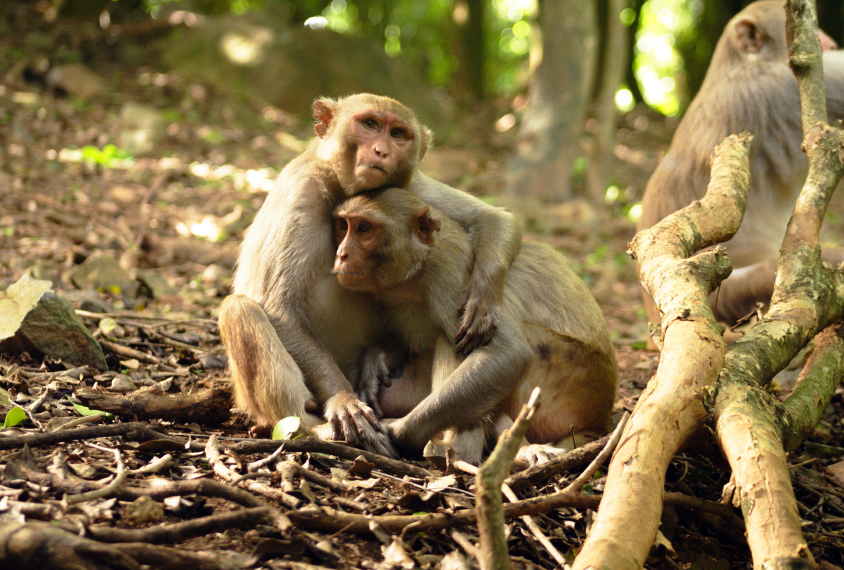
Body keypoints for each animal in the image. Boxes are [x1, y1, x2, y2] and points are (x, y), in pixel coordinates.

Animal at [332, 186, 620, 462]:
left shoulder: (450, 277)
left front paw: (396, 433)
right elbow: (408, 344)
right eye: (343, 226)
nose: (341, 254)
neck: (416, 271)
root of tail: (600, 417)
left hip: (569, 379)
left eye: (364, 228)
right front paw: (374, 362)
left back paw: (459, 451)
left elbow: (506, 352)